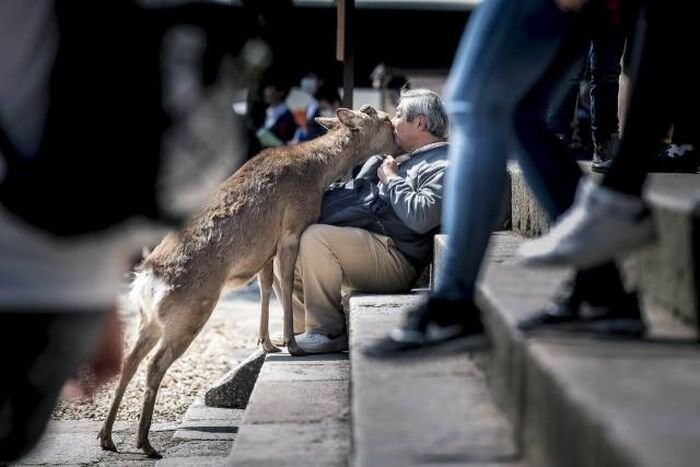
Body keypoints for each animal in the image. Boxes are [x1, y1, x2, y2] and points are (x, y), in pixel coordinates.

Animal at [97, 105, 400, 458]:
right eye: (384, 120)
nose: (396, 137)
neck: (318, 173)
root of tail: (147, 280)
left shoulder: (264, 250)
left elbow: (268, 286)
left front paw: (268, 343)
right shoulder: (290, 231)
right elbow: (285, 283)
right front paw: (293, 345)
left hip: (149, 319)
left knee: (129, 361)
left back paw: (107, 438)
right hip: (190, 312)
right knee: (155, 363)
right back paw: (145, 444)